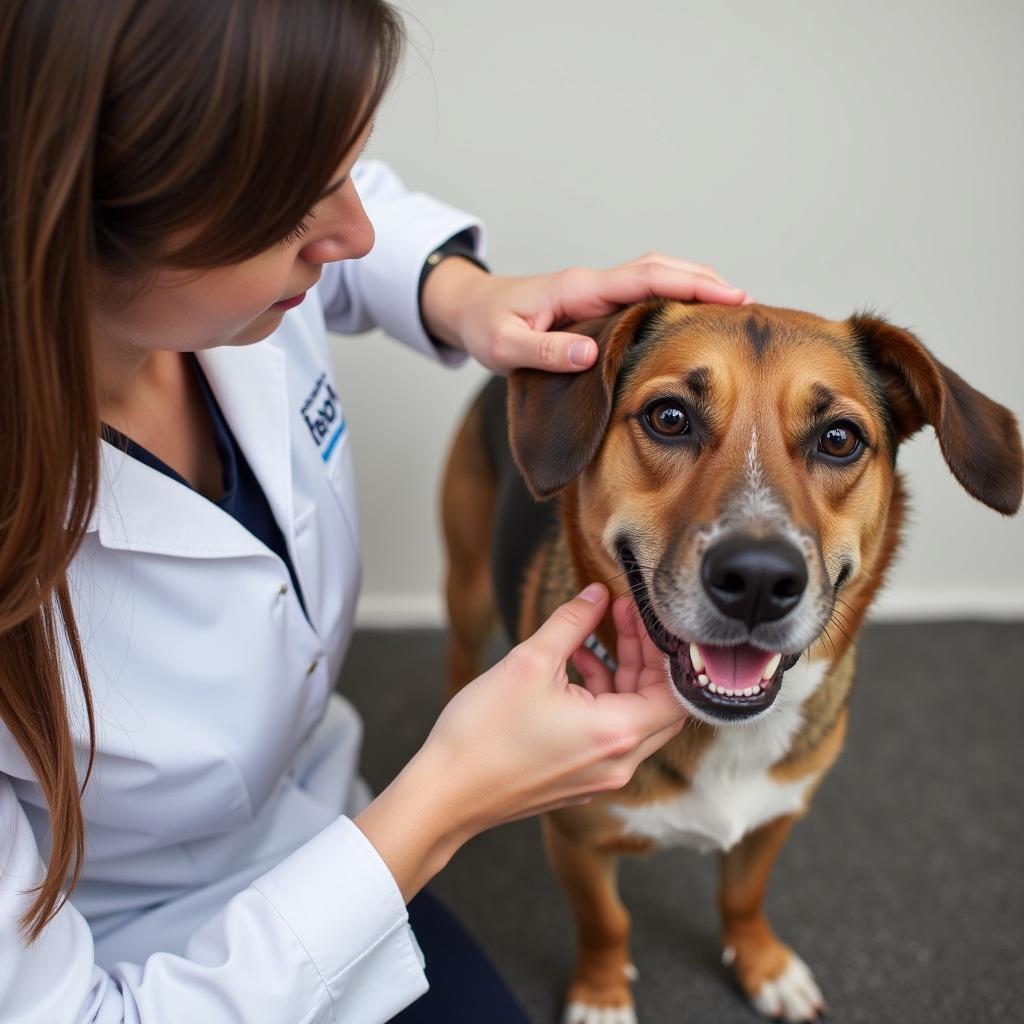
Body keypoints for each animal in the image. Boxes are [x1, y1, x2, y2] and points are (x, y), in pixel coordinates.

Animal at [442, 299, 1024, 1019]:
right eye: (669, 418)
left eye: (839, 438)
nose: (757, 580)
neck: (720, 731)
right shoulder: (576, 840)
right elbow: (606, 922)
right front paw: (602, 995)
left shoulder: (776, 816)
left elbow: (743, 897)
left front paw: (762, 966)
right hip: (466, 588)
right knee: (459, 658)